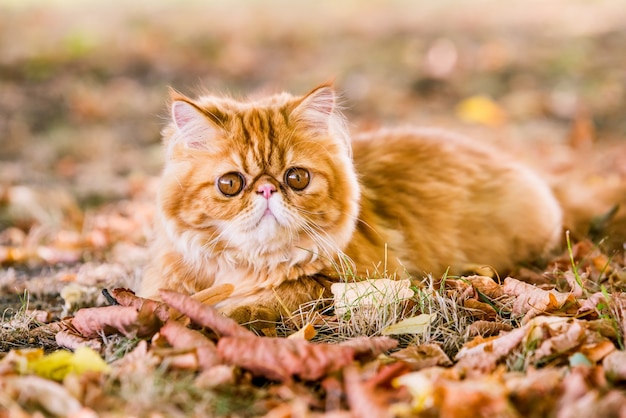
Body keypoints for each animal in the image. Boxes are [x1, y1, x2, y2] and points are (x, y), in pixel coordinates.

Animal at [140, 82, 560, 324]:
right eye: (230, 184)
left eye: (296, 178)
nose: (267, 191)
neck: (251, 266)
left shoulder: (363, 279)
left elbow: (284, 294)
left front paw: (227, 310)